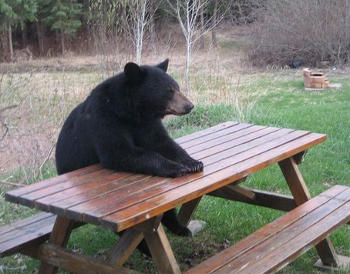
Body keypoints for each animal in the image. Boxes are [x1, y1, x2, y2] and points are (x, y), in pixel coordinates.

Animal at [54, 59, 202, 238]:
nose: (190, 105)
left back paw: (180, 228)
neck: (131, 111)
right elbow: (119, 152)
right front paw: (177, 168)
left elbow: (162, 142)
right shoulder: (103, 118)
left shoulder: (146, 123)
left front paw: (193, 163)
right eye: (169, 90)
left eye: (177, 87)